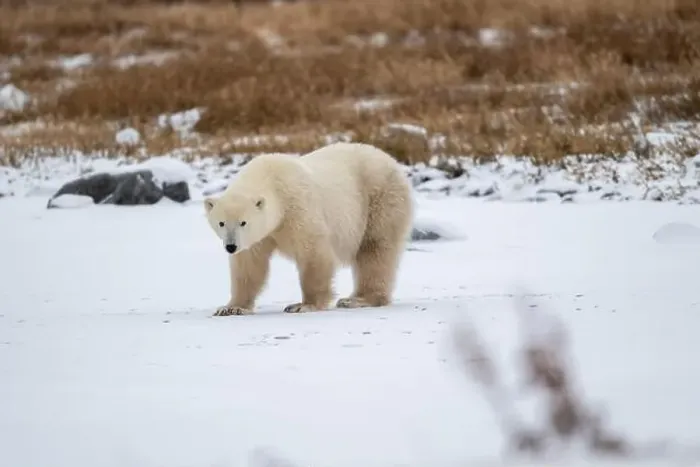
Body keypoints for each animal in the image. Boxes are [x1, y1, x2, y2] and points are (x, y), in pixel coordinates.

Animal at [203, 141, 414, 317]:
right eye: (221, 223)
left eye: (243, 222)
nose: (231, 246)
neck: (271, 178)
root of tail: (392, 162)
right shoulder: (259, 236)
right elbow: (249, 265)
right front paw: (231, 308)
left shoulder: (297, 207)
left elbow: (313, 252)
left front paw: (303, 305)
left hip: (380, 200)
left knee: (374, 250)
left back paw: (358, 299)